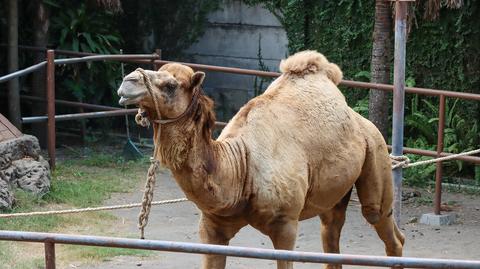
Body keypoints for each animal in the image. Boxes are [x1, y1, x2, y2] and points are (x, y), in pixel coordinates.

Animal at [117, 50, 404, 268]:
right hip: (334, 191)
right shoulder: (211, 225)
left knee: (382, 221)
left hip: (376, 150)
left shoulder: (286, 225)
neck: (241, 166)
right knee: (331, 232)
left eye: (171, 85)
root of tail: (360, 120)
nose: (128, 81)